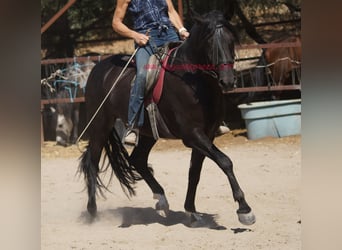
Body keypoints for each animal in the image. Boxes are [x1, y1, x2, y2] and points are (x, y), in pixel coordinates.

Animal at [79, 9, 254, 226]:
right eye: (209, 42)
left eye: (231, 40)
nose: (227, 81)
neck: (193, 81)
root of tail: (98, 68)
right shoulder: (192, 134)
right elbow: (225, 161)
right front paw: (244, 210)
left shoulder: (207, 134)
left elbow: (194, 172)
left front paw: (191, 211)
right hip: (100, 126)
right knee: (92, 162)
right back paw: (92, 212)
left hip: (147, 133)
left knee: (137, 159)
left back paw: (161, 199)